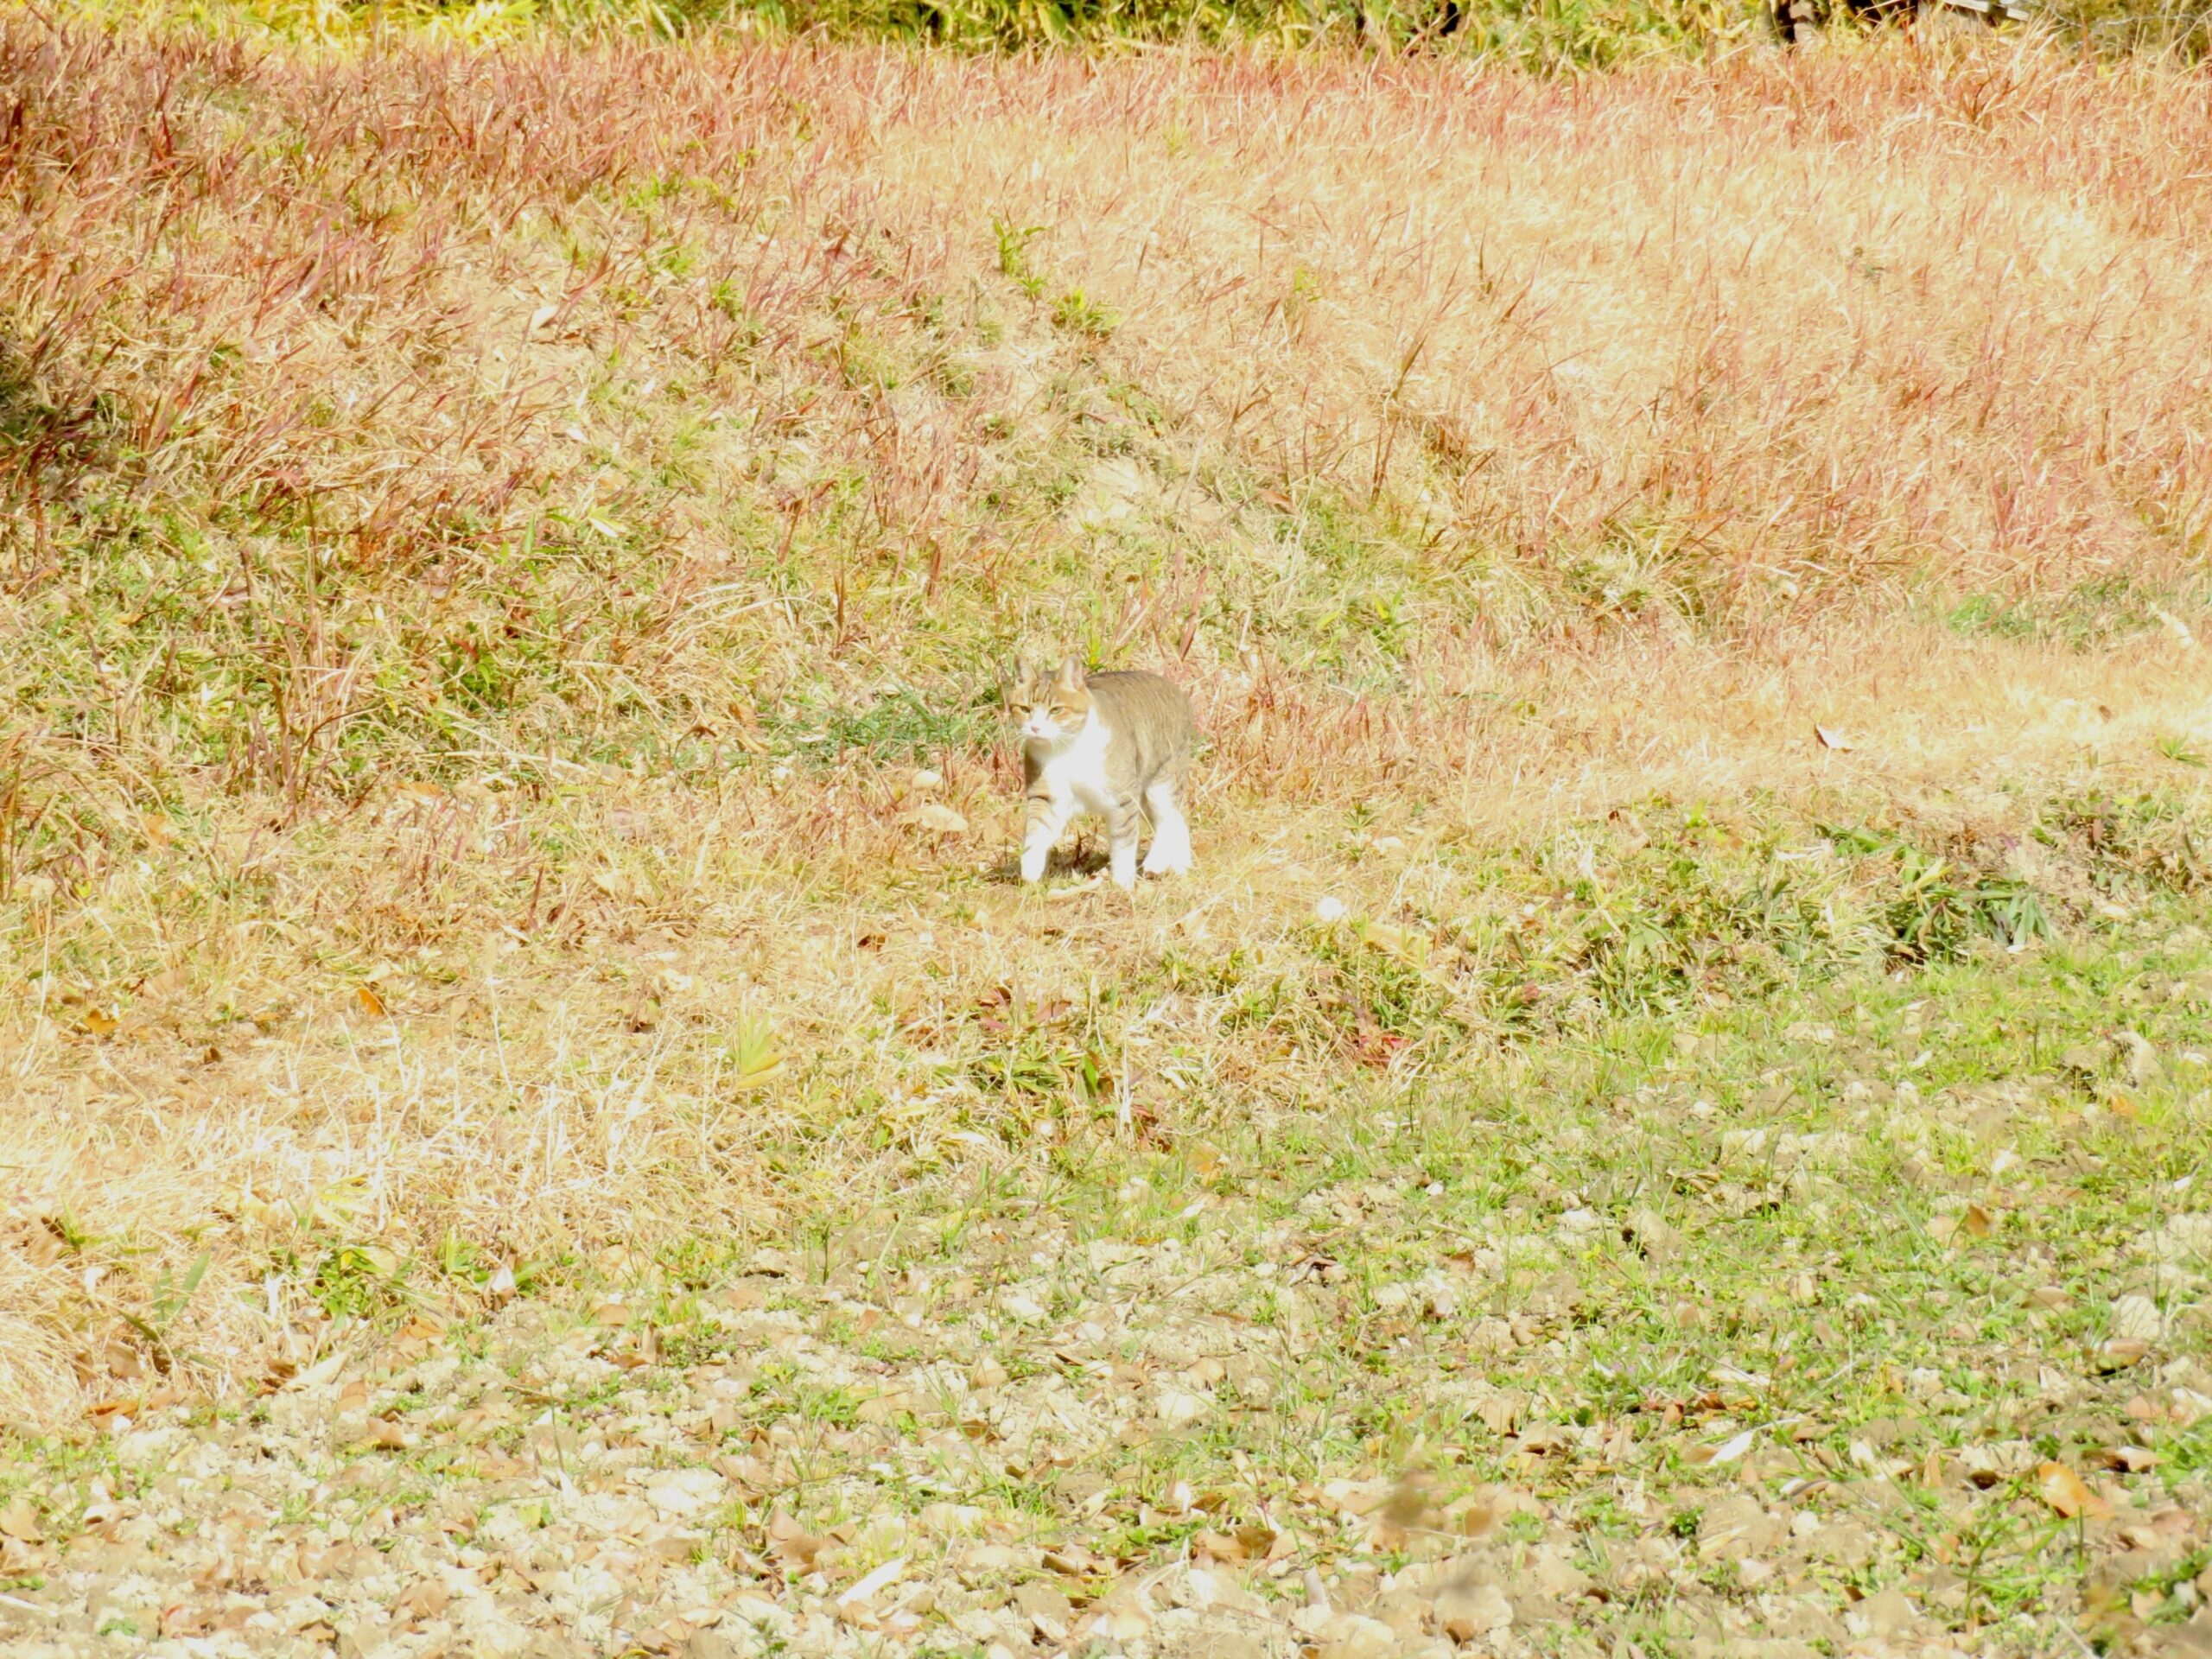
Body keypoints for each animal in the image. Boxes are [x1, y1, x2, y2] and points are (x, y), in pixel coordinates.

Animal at [1008, 658, 1203, 898]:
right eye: (1024, 709)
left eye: (1056, 710)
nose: (1035, 728)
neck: (1067, 749)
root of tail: (1176, 689)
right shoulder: (1047, 796)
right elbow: (1036, 833)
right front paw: (1030, 870)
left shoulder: (1123, 798)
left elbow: (1122, 846)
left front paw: (1122, 884)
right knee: (1177, 822)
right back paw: (1180, 866)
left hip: (1162, 780)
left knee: (1169, 819)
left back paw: (1156, 862)